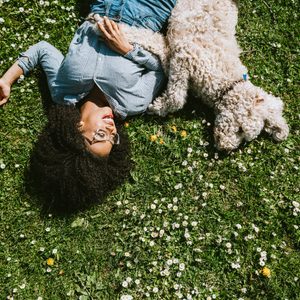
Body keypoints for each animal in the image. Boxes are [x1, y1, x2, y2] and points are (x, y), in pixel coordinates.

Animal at [148, 0, 288, 150]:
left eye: (244, 137)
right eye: (241, 129)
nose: (225, 149)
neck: (226, 83)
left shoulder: (178, 58)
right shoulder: (185, 56)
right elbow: (176, 98)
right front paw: (158, 107)